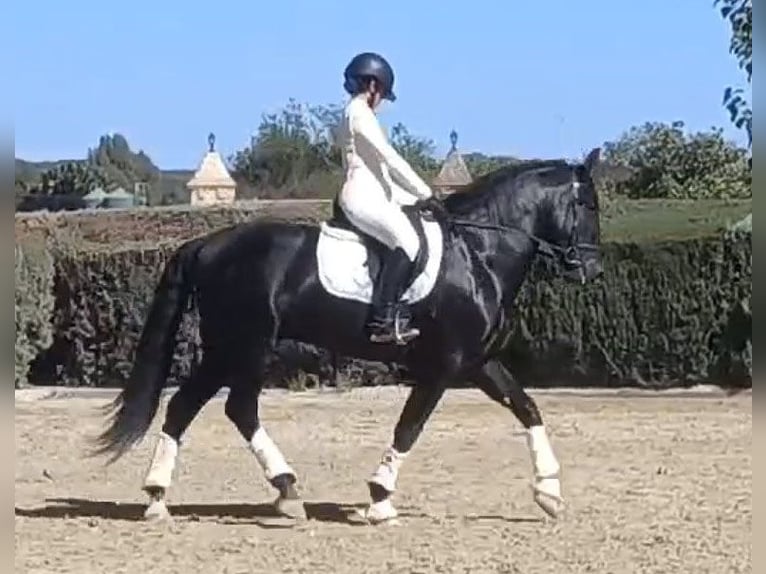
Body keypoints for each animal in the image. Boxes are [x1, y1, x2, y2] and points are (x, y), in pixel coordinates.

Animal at [93, 147, 605, 524]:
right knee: (225, 408)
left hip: (233, 350)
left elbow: (527, 407)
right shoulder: (444, 365)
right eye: (587, 204)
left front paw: (550, 493)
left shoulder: (477, 361)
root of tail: (206, 244)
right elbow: (410, 426)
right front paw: (379, 499)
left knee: (199, 407)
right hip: (246, 347)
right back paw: (267, 491)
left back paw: (177, 497)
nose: (593, 269)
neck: (478, 253)